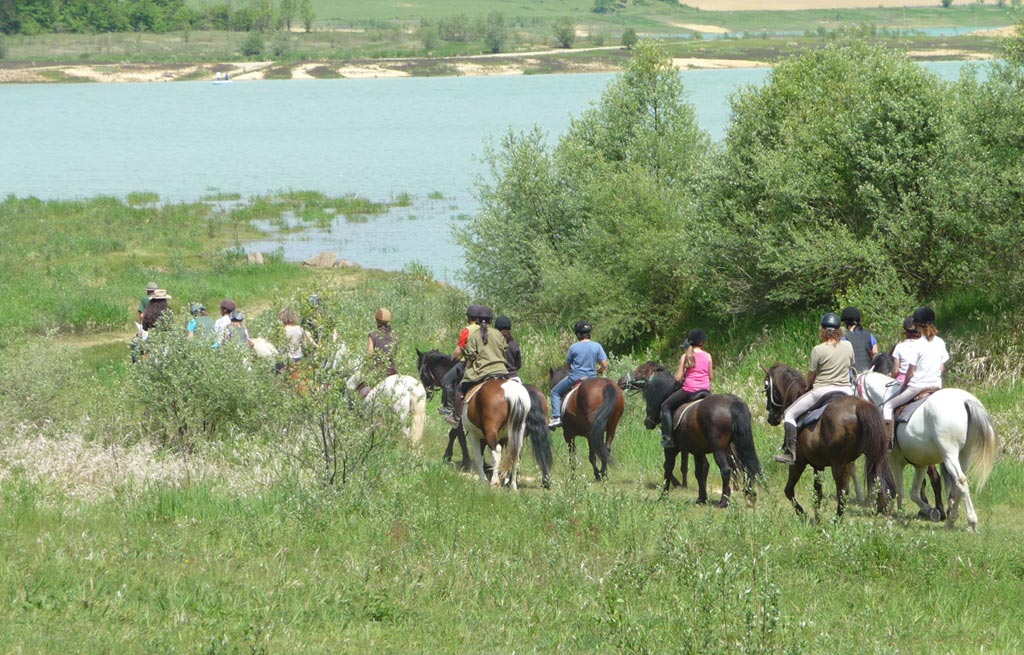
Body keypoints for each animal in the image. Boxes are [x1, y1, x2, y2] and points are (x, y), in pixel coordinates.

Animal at [614, 364, 761, 507]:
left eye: (641, 371)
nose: (621, 381)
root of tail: (732, 403)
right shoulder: (698, 451)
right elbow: (700, 472)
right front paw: (701, 499)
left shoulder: (671, 449)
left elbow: (668, 468)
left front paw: (663, 497)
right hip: (736, 447)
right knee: (746, 470)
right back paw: (750, 498)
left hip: (719, 449)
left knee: (726, 470)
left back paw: (724, 501)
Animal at [761, 366, 897, 519]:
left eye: (766, 386)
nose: (771, 418)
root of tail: (859, 407)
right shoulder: (818, 465)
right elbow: (817, 493)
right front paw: (816, 519)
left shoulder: (798, 462)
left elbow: (789, 490)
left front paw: (803, 515)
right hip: (875, 456)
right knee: (880, 482)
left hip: (838, 463)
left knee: (842, 492)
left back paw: (836, 520)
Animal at [851, 356, 995, 528]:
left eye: (853, 389)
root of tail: (966, 401)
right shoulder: (921, 464)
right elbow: (914, 492)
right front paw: (930, 510)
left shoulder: (895, 461)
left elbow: (900, 490)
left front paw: (901, 517)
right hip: (965, 454)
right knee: (959, 483)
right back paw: (951, 520)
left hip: (949, 454)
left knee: (960, 481)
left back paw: (971, 521)